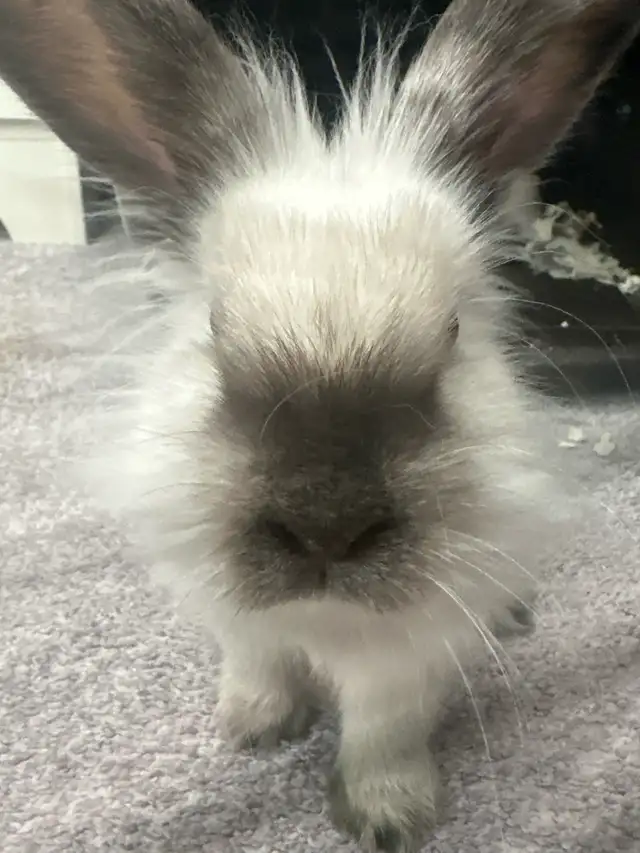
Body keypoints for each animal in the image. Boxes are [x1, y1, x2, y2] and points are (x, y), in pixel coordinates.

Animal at [1, 1, 638, 850]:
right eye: (215, 329)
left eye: (451, 334)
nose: (326, 527)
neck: (323, 615)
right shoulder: (242, 626)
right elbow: (257, 666)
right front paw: (253, 728)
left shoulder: (402, 662)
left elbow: (381, 735)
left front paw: (389, 818)